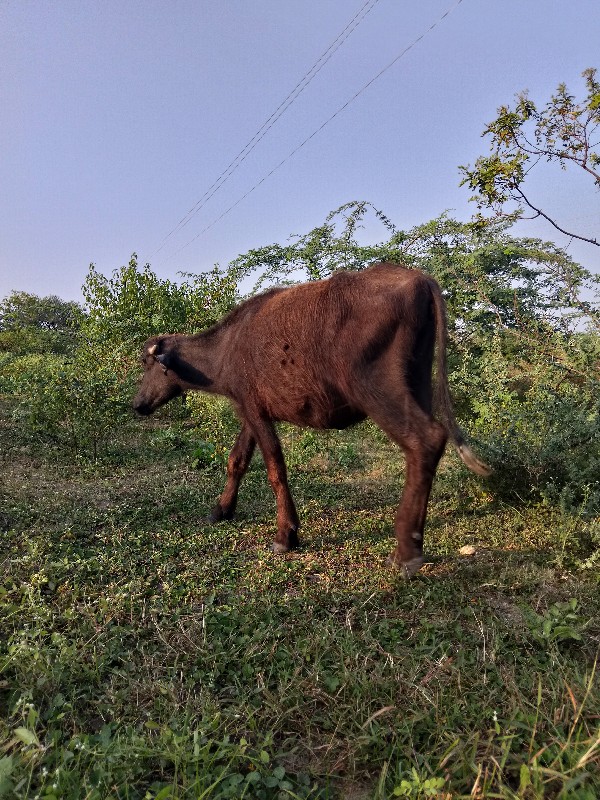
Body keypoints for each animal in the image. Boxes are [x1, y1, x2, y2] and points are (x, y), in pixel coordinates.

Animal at [134, 262, 490, 576]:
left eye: (147, 363)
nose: (138, 404)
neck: (226, 348)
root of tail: (419, 280)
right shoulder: (251, 411)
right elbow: (237, 460)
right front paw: (222, 509)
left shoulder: (255, 412)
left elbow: (276, 471)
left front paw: (286, 535)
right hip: (419, 382)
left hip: (375, 388)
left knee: (425, 439)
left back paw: (405, 552)